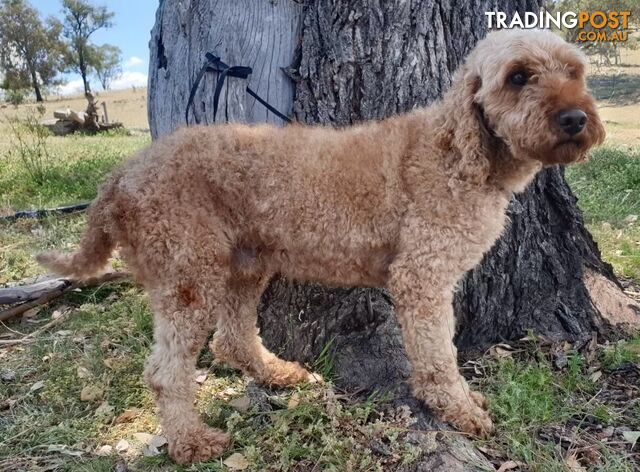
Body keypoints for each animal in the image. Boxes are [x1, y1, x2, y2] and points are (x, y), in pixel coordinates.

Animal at [38, 29, 604, 464]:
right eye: (518, 76)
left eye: (575, 72)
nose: (576, 119)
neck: (460, 151)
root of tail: (122, 174)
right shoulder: (421, 277)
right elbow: (438, 356)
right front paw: (459, 409)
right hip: (188, 276)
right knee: (165, 372)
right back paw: (192, 442)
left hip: (244, 263)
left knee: (233, 340)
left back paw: (277, 373)